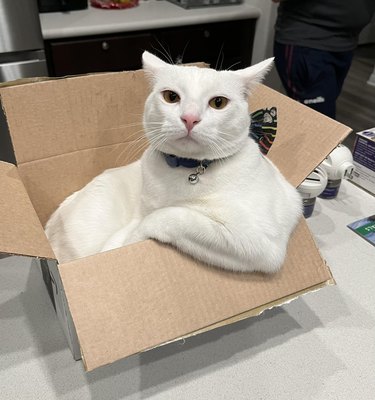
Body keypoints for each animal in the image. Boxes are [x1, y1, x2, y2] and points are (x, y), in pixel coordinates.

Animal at [44, 51, 302, 274]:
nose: (189, 118)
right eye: (171, 97)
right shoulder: (142, 207)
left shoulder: (257, 242)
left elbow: (170, 216)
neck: (188, 170)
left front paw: (130, 239)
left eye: (218, 102)